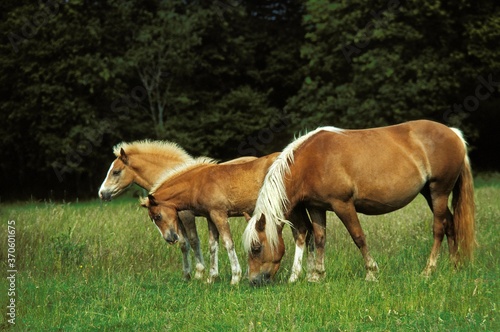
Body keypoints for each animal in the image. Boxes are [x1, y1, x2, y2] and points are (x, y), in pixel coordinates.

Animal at [243, 120, 476, 284]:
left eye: (256, 248)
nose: (254, 281)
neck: (311, 161)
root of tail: (453, 132)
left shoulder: (343, 205)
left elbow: (358, 237)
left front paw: (371, 273)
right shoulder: (316, 207)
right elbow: (319, 239)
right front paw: (317, 276)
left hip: (439, 192)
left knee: (438, 228)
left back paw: (428, 270)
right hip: (430, 193)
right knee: (450, 223)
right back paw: (454, 266)